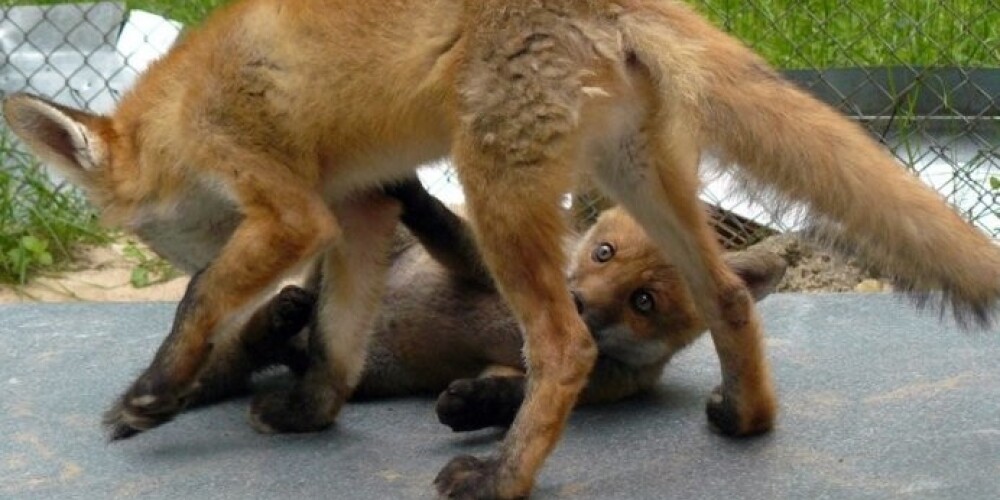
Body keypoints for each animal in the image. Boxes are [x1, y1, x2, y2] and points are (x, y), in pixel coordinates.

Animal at [184, 181, 784, 434]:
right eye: (603, 252)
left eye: (643, 302)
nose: (575, 302)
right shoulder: (482, 266)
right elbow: (448, 229)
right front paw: (414, 191)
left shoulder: (587, 384)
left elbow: (511, 396)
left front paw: (472, 406)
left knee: (272, 353)